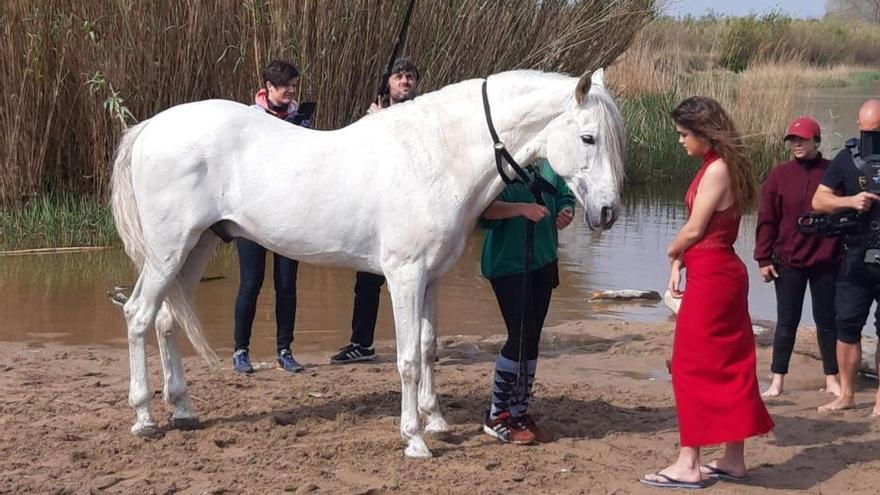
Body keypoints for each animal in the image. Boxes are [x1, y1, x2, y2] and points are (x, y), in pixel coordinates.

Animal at [111, 68, 624, 460]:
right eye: (588, 137)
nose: (608, 212)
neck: (436, 157)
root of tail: (150, 128)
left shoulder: (432, 279)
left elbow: (430, 348)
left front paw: (435, 421)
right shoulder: (405, 277)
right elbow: (408, 359)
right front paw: (415, 440)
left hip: (194, 248)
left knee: (166, 321)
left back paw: (183, 411)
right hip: (168, 251)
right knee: (138, 316)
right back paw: (144, 418)